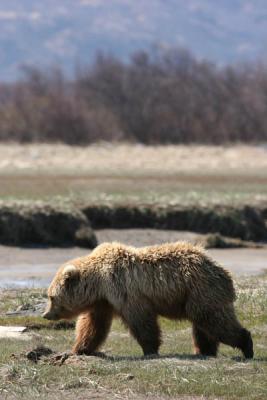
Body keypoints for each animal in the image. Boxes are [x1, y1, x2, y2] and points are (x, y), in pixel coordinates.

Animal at [43, 242, 254, 358]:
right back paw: (204, 351)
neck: (99, 283)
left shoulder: (126, 291)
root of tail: (224, 272)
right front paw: (78, 349)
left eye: (51, 297)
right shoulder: (103, 302)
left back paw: (246, 346)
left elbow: (142, 322)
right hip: (196, 296)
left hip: (201, 291)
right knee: (204, 327)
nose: (45, 314)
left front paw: (150, 349)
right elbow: (93, 326)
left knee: (214, 321)